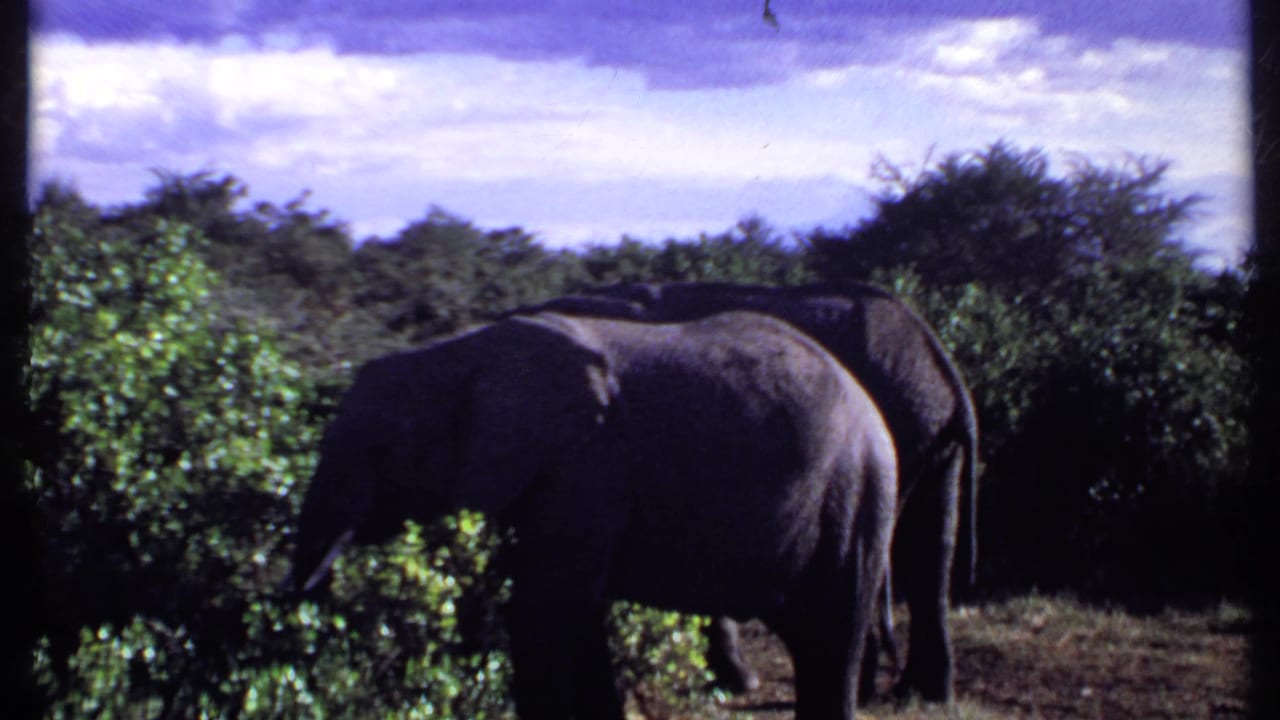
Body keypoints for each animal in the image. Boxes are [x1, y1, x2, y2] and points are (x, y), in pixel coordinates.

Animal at [288, 310, 899, 720]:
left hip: (858, 494)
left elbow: (544, 610)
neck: (459, 358)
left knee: (833, 631)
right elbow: (575, 614)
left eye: (379, 451)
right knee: (809, 636)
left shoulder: (584, 465)